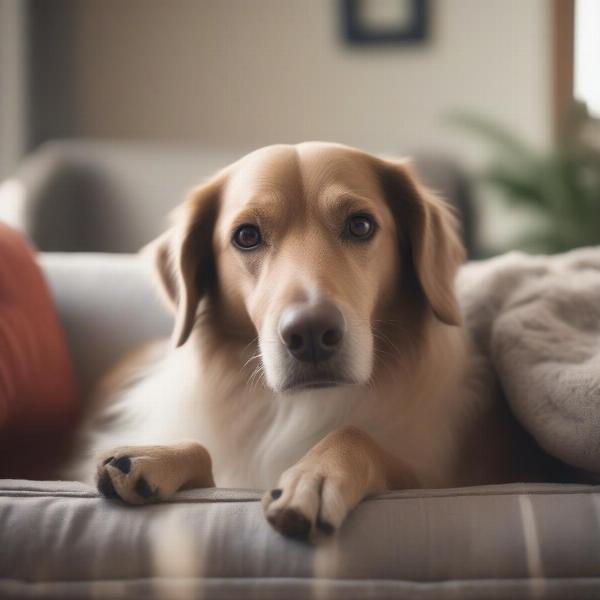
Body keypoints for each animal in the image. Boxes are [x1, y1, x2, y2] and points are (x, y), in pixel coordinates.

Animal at [67, 142, 548, 540]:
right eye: (246, 235)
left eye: (360, 225)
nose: (311, 334)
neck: (298, 407)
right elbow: (204, 451)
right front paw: (154, 456)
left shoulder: (438, 479)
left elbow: (358, 436)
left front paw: (314, 476)